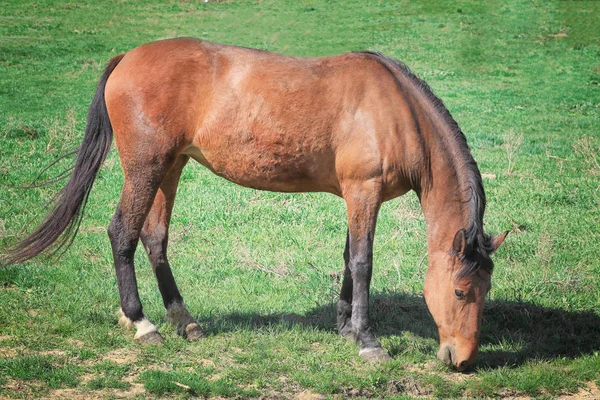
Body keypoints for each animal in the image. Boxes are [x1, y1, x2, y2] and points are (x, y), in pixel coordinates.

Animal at [1, 38, 506, 372]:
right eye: (460, 292)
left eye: (486, 291)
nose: (463, 361)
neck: (396, 110)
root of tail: (128, 57)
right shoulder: (364, 191)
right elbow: (363, 262)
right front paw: (367, 340)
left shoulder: (356, 195)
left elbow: (348, 259)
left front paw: (345, 326)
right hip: (146, 168)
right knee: (121, 232)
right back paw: (142, 322)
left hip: (170, 168)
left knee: (154, 238)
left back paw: (184, 321)